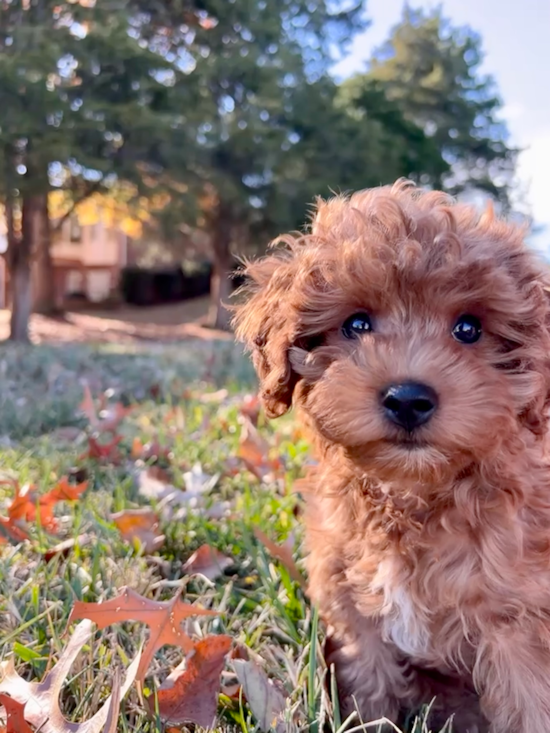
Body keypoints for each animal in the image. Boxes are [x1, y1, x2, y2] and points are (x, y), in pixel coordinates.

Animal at [234, 179, 550, 732]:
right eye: (357, 324)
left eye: (469, 329)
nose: (407, 398)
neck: (412, 492)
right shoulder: (353, 607)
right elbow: (370, 689)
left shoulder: (518, 624)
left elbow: (529, 705)